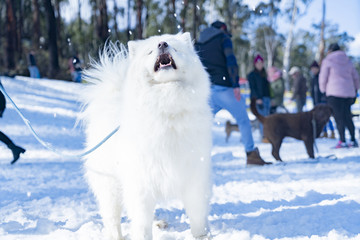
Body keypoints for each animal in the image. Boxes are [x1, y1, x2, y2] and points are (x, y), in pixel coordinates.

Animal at [80, 32, 212, 240]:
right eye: (150, 51)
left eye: (174, 47)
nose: (162, 44)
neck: (167, 106)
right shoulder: (140, 181)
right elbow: (141, 220)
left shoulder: (194, 174)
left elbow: (197, 213)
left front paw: (201, 236)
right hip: (110, 185)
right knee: (112, 217)